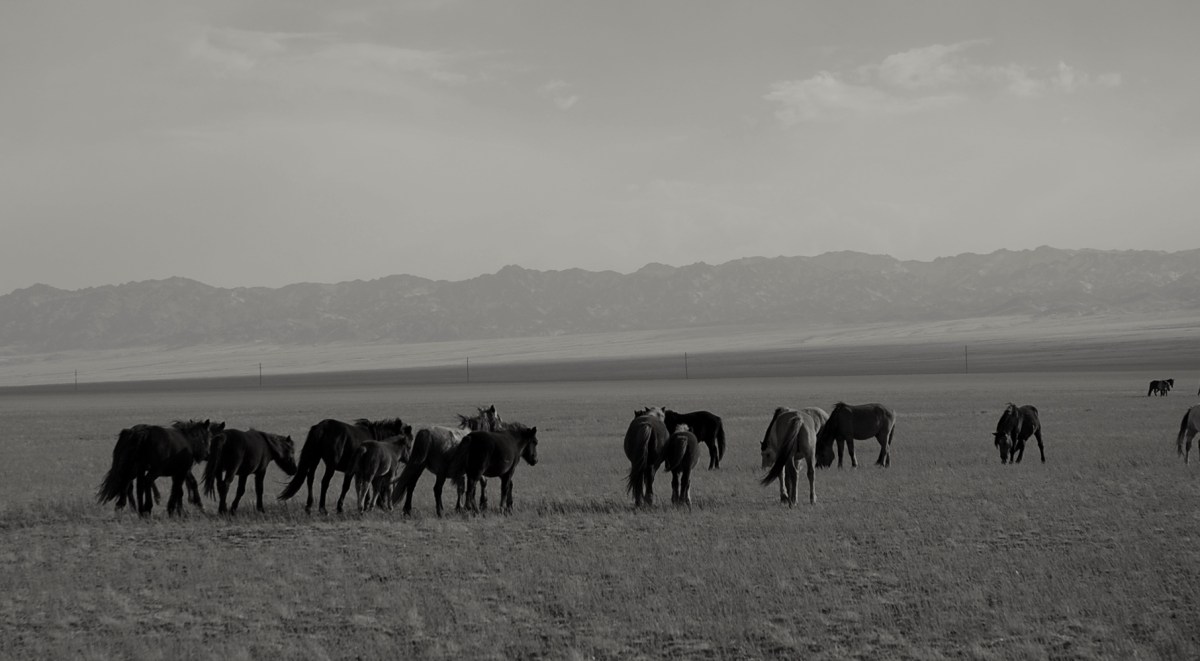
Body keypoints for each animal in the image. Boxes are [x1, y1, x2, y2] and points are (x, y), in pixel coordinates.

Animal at [278, 418, 412, 513]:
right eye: (409, 443)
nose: (408, 459)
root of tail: (323, 427)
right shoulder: (354, 471)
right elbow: (347, 487)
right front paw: (341, 507)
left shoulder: (359, 472)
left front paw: (364, 504)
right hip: (331, 465)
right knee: (325, 482)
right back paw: (322, 508)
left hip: (315, 458)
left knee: (310, 478)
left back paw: (309, 506)